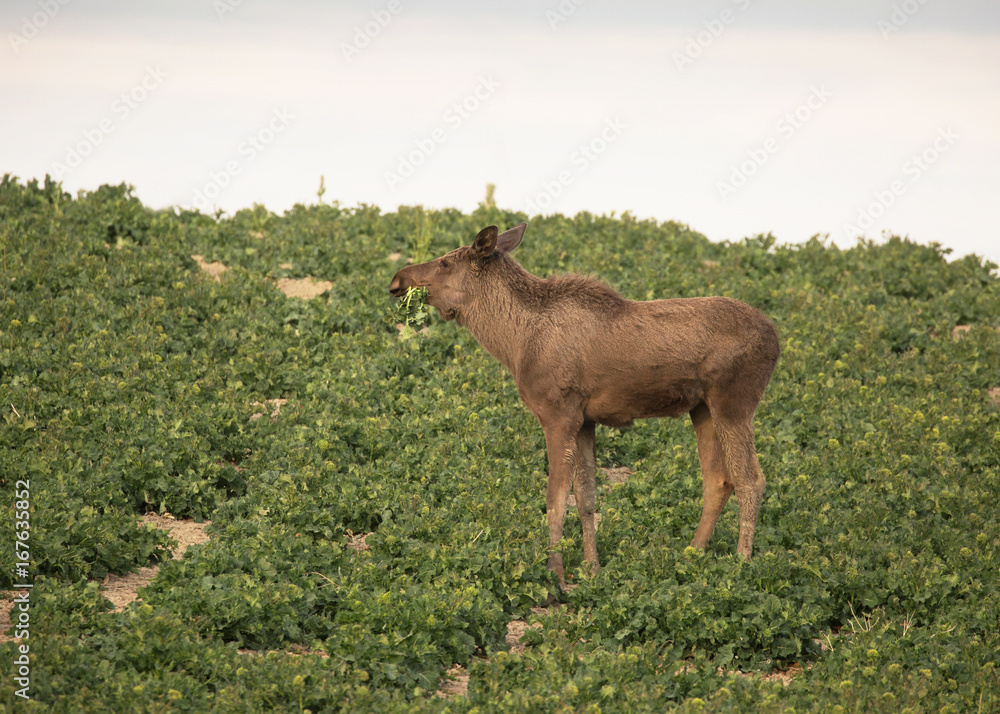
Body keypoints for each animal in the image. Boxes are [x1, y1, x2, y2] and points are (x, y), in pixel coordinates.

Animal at [388, 223, 780, 590]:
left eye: (445, 262)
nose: (397, 280)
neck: (514, 344)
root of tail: (776, 341)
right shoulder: (585, 420)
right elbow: (587, 496)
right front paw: (591, 568)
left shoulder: (558, 414)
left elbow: (555, 497)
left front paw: (555, 574)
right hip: (702, 409)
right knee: (718, 479)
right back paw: (691, 555)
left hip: (734, 402)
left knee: (751, 479)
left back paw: (741, 564)